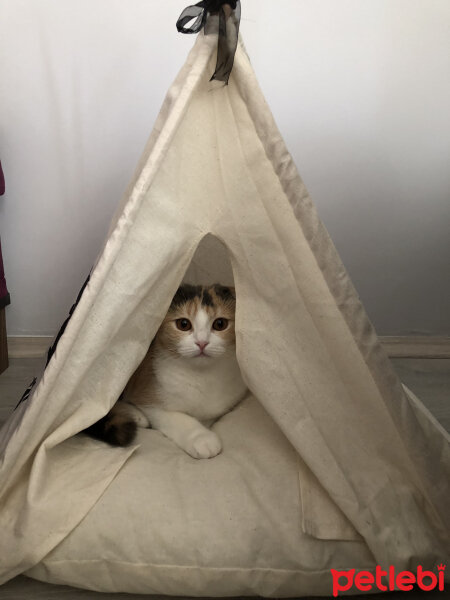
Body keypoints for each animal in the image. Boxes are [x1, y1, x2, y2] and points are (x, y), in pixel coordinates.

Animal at [86, 284, 248, 458]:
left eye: (220, 324)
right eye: (183, 324)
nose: (202, 343)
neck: (202, 375)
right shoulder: (149, 395)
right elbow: (176, 417)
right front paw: (202, 438)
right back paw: (136, 415)